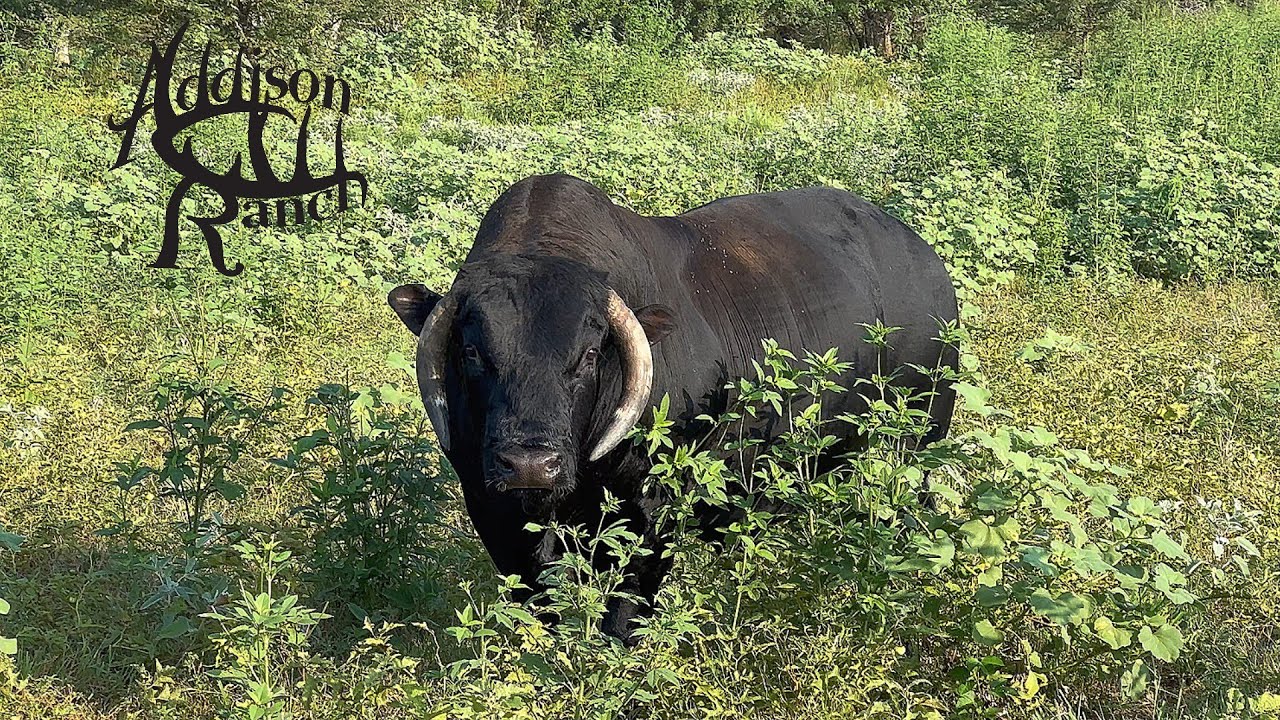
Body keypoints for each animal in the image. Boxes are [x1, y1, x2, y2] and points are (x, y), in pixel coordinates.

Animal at [387, 174, 958, 642]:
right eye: (471, 352)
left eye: (589, 354)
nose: (530, 465)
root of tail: (927, 262)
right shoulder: (494, 513)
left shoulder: (652, 516)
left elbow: (623, 618)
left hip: (915, 448)